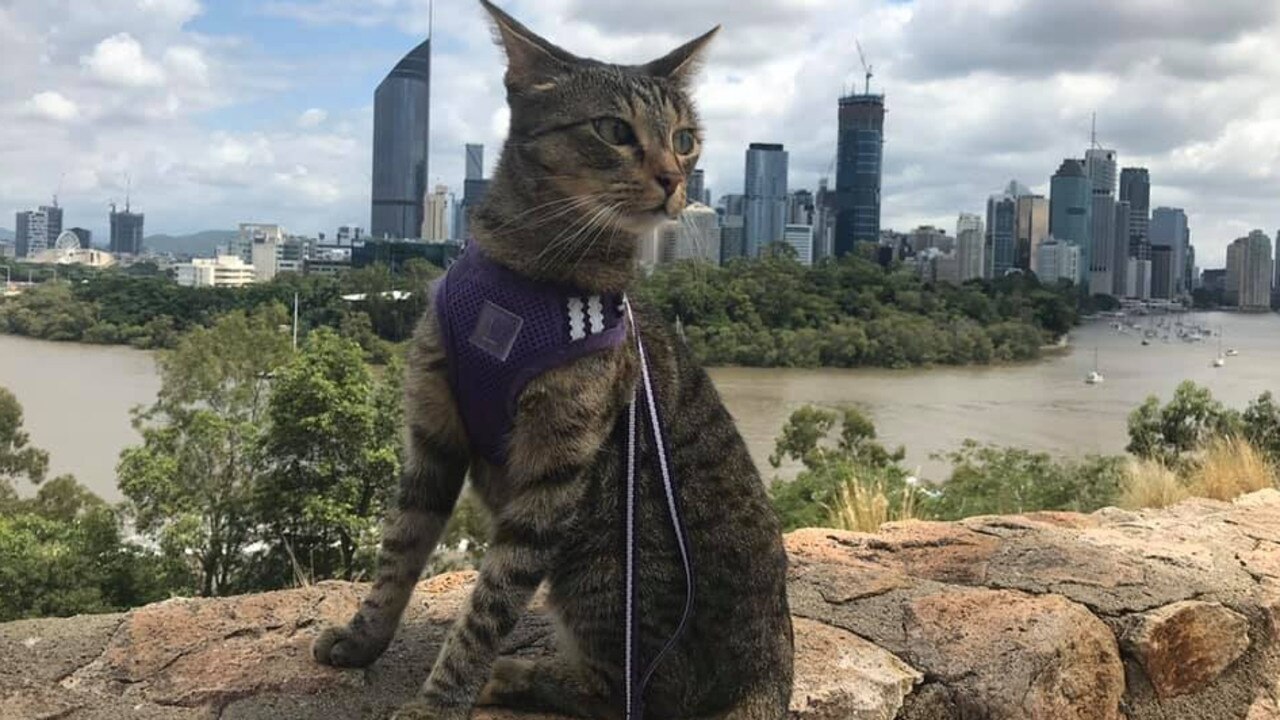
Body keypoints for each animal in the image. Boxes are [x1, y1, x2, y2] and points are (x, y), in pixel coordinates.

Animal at [311, 2, 793, 712]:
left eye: (684, 140)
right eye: (614, 130)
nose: (676, 180)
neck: (528, 277)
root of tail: (773, 664)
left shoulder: (553, 475)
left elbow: (488, 606)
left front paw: (440, 699)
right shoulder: (433, 435)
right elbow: (399, 550)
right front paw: (364, 637)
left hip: (605, 563)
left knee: (624, 692)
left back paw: (515, 675)